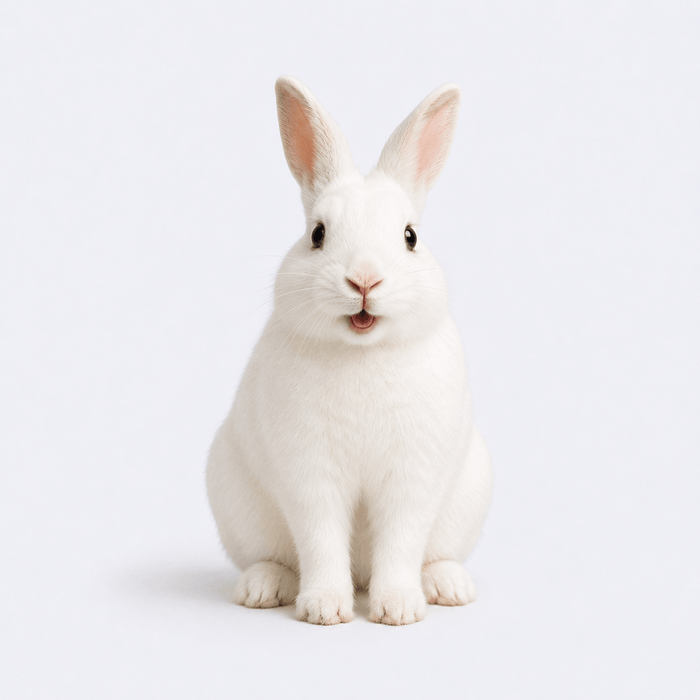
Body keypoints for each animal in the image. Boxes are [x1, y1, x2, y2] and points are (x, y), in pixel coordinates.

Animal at [206, 76, 493, 625]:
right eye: (317, 234)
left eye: (410, 236)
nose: (364, 280)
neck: (362, 352)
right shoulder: (310, 475)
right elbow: (320, 539)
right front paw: (325, 609)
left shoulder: (411, 479)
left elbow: (400, 542)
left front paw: (397, 610)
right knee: (271, 558)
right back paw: (264, 588)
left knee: (434, 555)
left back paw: (447, 586)